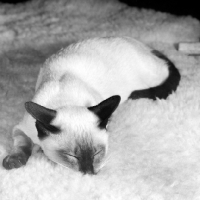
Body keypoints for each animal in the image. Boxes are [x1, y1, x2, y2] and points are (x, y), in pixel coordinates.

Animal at [2, 36, 181, 174]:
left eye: (97, 153)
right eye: (72, 156)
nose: (88, 173)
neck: (66, 98)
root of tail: (145, 46)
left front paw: (40, 152)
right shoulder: (21, 128)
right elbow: (22, 145)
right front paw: (14, 161)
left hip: (150, 77)